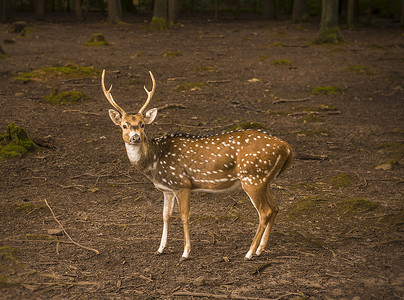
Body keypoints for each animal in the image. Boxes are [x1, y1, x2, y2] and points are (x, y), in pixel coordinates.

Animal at [102, 69, 292, 262]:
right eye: (124, 125)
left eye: (142, 125)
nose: (135, 137)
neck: (155, 161)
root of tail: (286, 146)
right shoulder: (167, 189)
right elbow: (165, 216)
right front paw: (160, 248)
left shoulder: (182, 184)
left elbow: (184, 216)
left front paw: (185, 252)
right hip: (265, 180)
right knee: (275, 208)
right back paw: (260, 249)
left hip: (253, 177)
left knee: (265, 212)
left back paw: (249, 252)